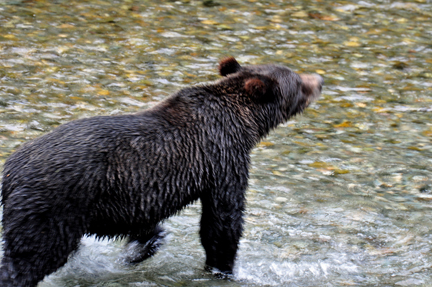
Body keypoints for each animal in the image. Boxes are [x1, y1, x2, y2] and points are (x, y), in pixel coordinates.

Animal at [0, 57, 322, 286]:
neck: (243, 124)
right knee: (31, 257)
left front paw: (141, 248)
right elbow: (223, 220)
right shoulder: (223, 159)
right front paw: (225, 268)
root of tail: (10, 170)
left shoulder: (138, 194)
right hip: (52, 205)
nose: (319, 78)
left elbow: (146, 226)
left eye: (294, 72)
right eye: (297, 81)